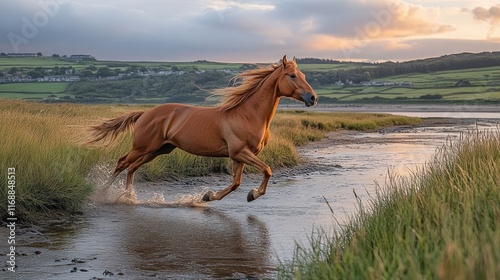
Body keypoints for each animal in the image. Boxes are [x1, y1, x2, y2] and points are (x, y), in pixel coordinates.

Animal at [88, 55, 318, 203]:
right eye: (292, 76)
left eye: (304, 75)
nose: (313, 98)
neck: (247, 114)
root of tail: (145, 113)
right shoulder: (240, 152)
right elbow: (267, 170)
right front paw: (252, 194)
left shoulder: (239, 156)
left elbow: (236, 182)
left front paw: (209, 196)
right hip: (143, 147)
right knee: (121, 163)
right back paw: (102, 194)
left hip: (159, 150)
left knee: (132, 168)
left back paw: (129, 197)